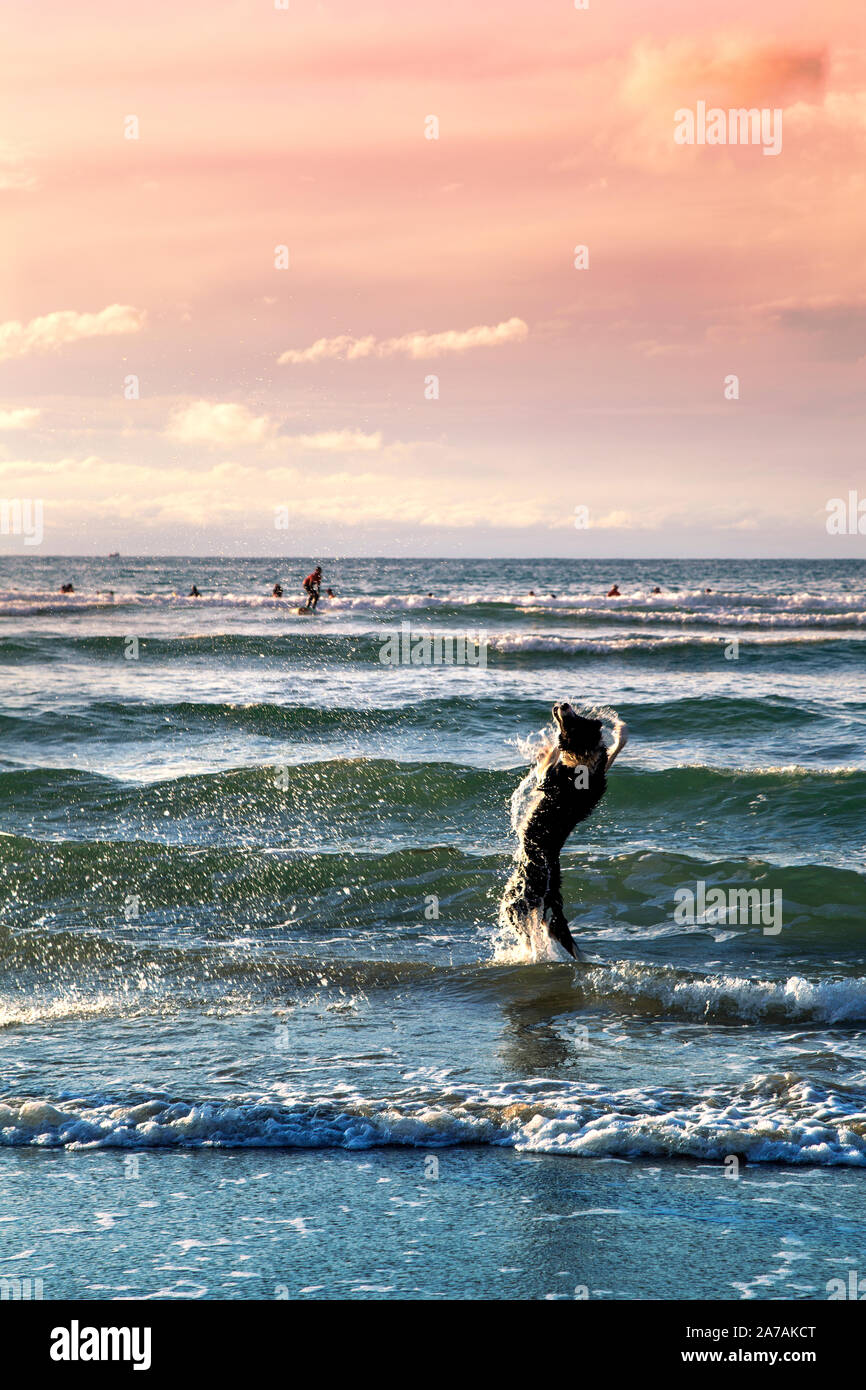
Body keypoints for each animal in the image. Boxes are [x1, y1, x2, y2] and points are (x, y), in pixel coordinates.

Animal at [500, 706, 631, 956]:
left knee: (526, 932)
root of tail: (553, 893)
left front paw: (546, 747)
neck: (582, 757)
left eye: (574, 721)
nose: (563, 705)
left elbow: (549, 762)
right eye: (579, 717)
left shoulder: (549, 778)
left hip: (517, 900)